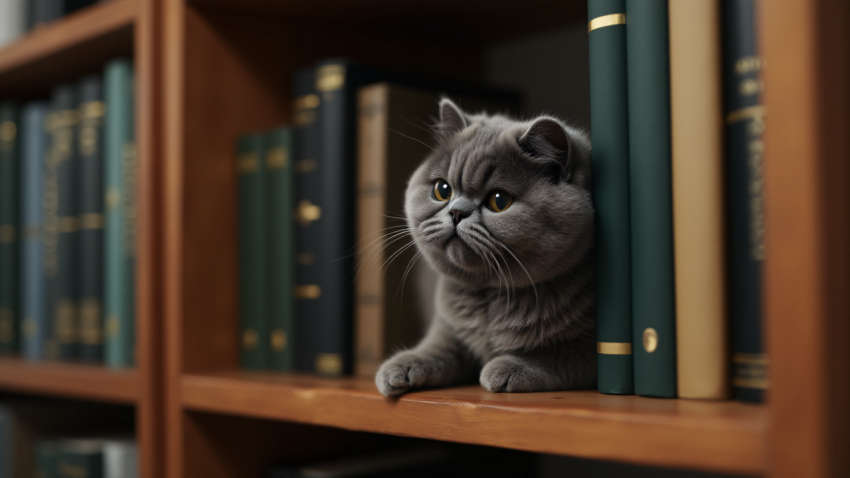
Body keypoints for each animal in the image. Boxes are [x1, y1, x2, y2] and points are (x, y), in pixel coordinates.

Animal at [374, 98, 592, 396]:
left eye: (499, 200)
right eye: (442, 190)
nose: (456, 212)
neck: (489, 297)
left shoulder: (589, 349)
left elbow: (560, 354)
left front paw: (508, 368)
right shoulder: (449, 328)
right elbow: (437, 349)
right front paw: (401, 366)